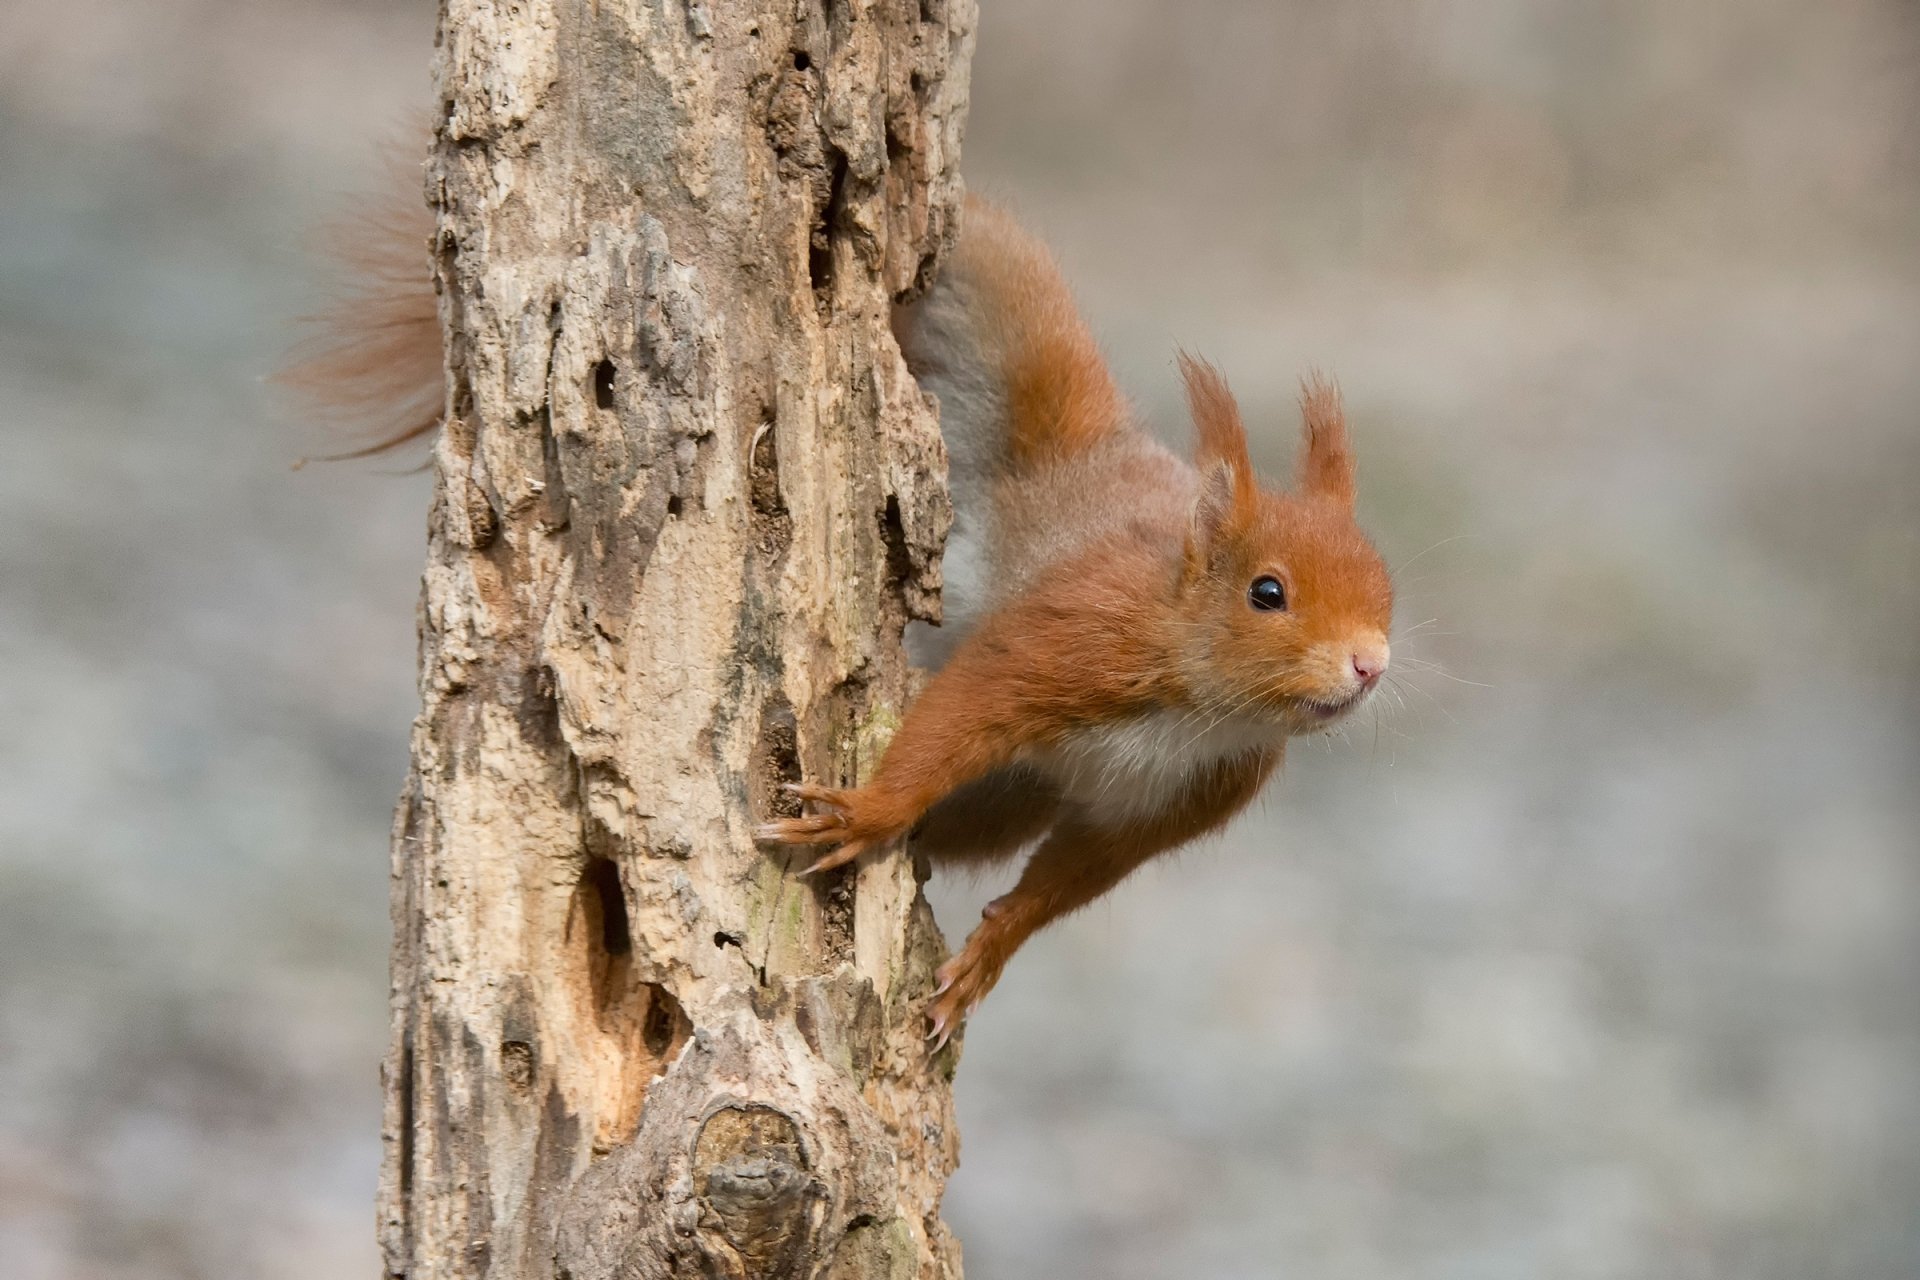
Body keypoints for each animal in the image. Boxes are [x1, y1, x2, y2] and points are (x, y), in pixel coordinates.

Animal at [290, 189, 1393, 1050]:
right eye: (1267, 592)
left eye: (1389, 589)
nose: (1371, 666)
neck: (1199, 707)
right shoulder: (1080, 638)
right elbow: (975, 703)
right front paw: (867, 815)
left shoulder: (1180, 799)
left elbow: (1068, 878)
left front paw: (986, 956)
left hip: (1017, 797)